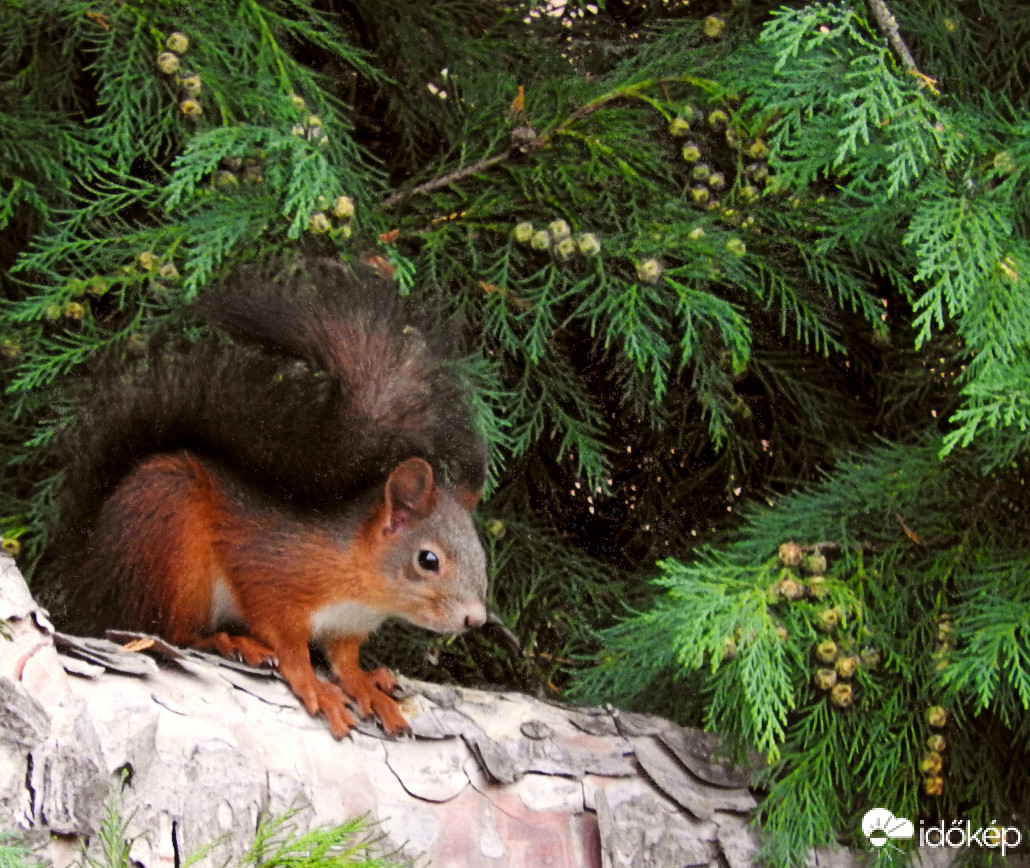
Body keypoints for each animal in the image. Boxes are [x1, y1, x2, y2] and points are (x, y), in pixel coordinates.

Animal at [39, 258, 490, 741]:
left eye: (482, 557)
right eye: (428, 560)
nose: (476, 621)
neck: (361, 585)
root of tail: (89, 574)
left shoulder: (346, 628)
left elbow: (344, 661)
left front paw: (365, 684)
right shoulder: (273, 580)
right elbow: (287, 641)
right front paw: (314, 685)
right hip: (171, 546)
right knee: (162, 630)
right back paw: (227, 641)